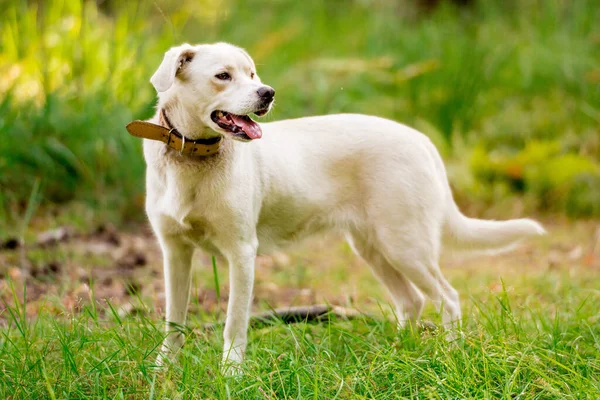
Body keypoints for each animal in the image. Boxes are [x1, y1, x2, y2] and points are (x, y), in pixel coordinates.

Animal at [129, 43, 548, 368]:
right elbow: (174, 321)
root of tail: (421, 140)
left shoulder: (242, 253)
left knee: (448, 298)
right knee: (411, 301)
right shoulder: (174, 252)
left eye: (251, 73)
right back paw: (398, 354)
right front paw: (164, 371)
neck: (192, 156)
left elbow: (234, 325)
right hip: (374, 248)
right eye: (223, 76)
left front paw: (231, 375)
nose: (267, 92)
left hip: (406, 245)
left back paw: (449, 354)